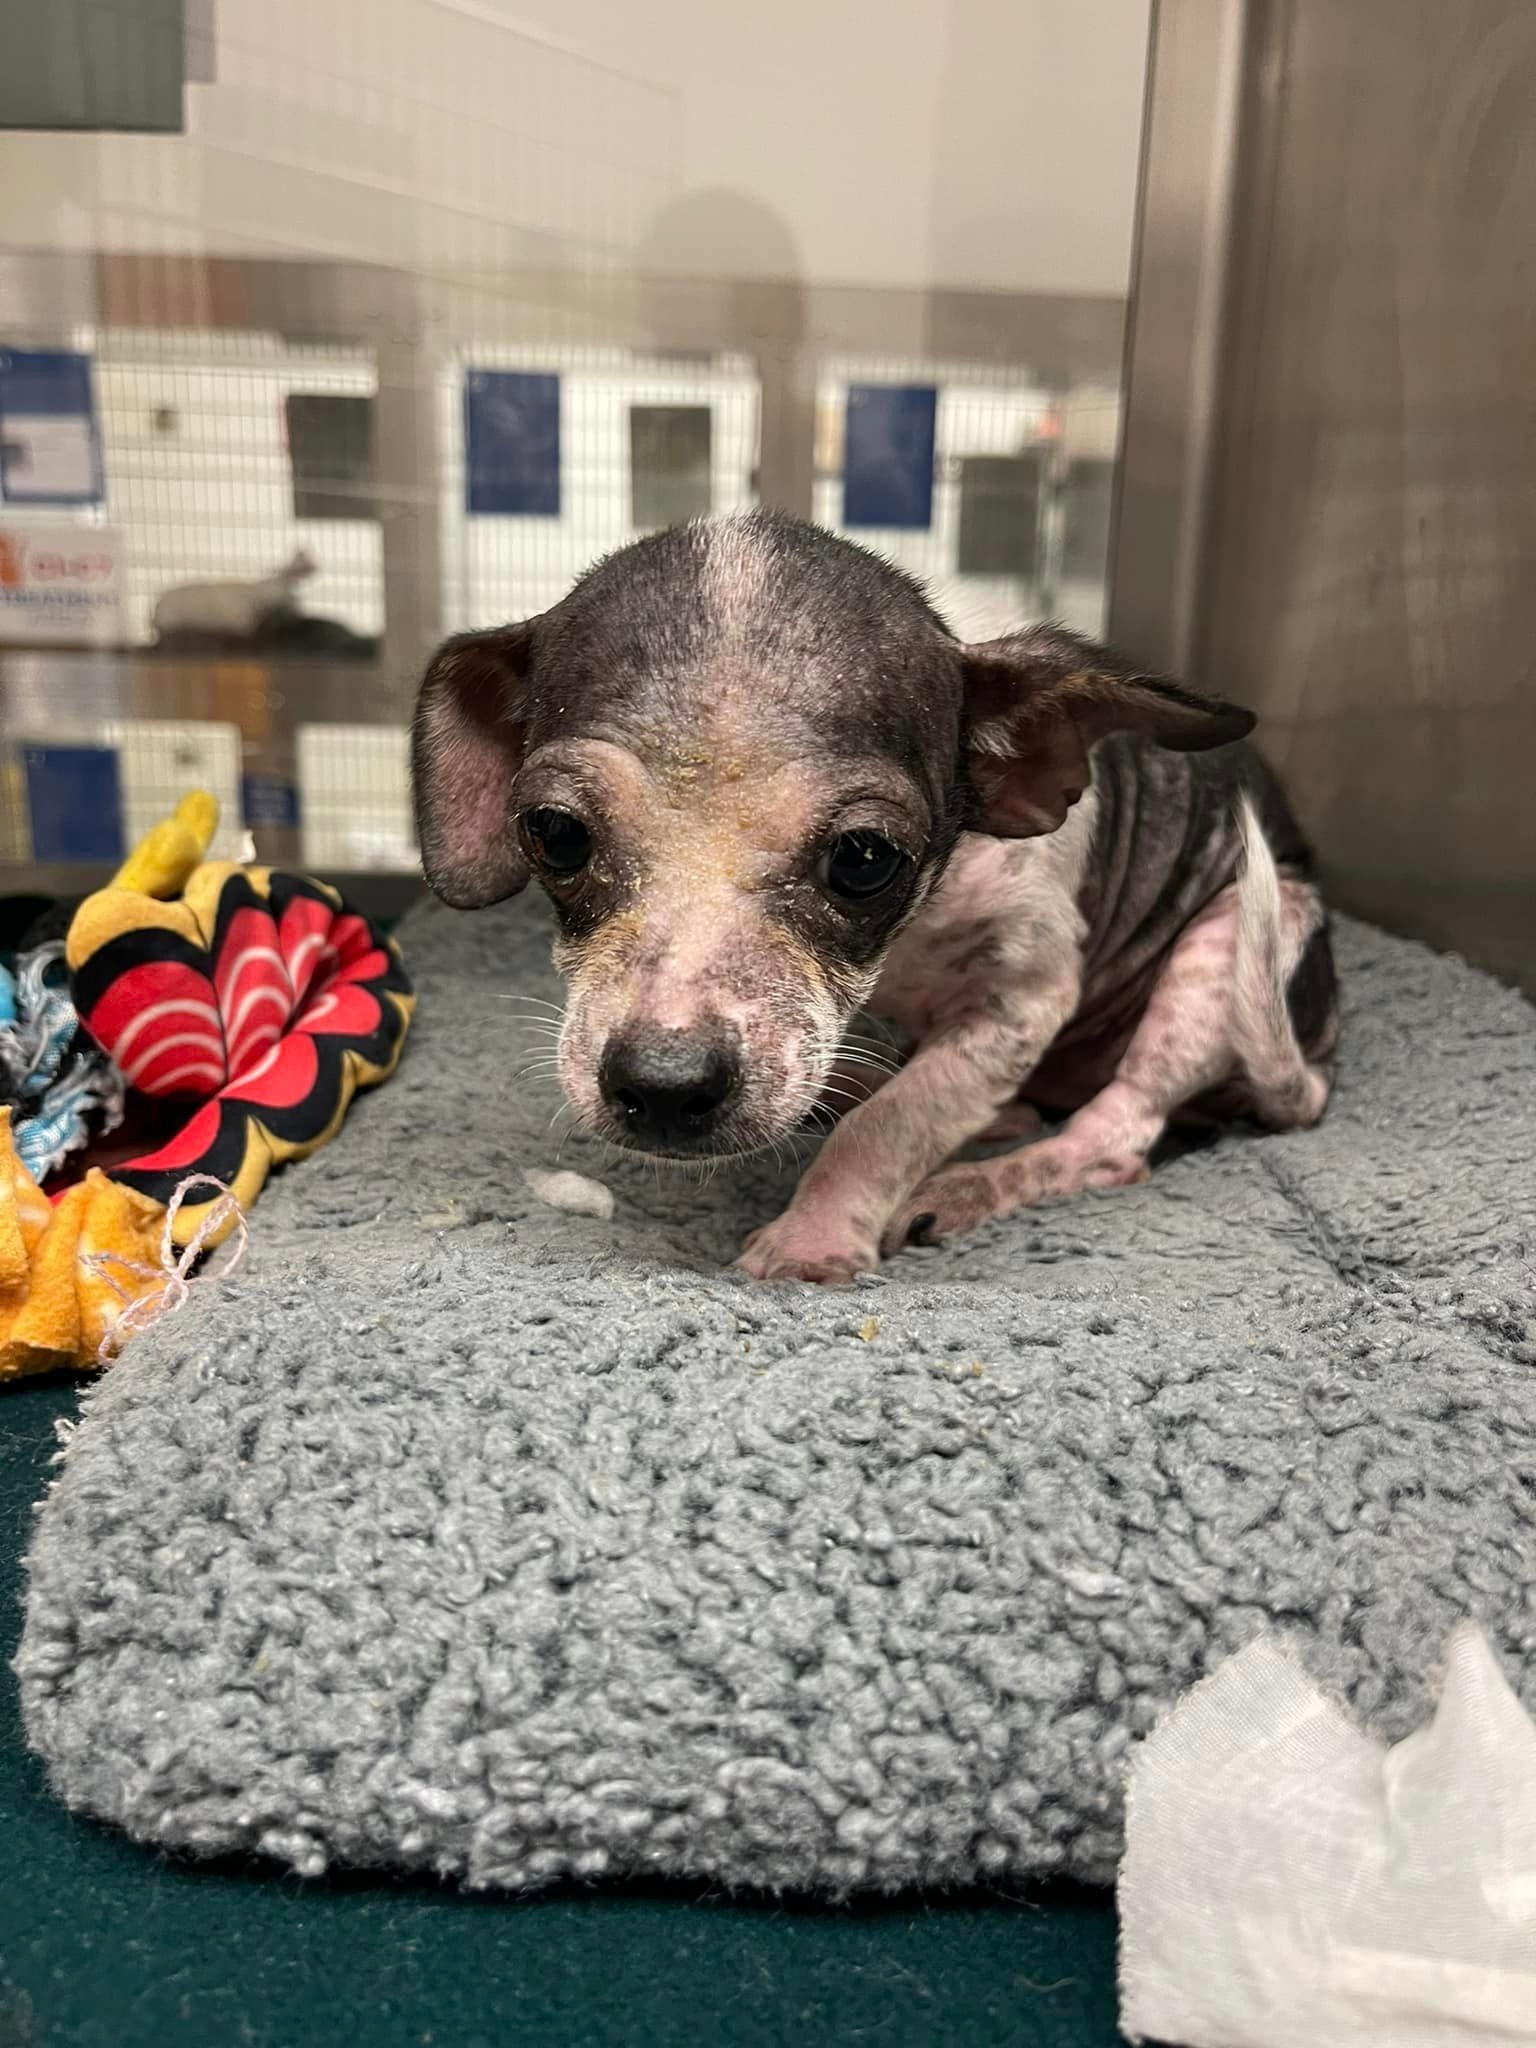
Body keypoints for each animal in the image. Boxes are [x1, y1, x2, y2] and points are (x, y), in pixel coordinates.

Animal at [411, 512, 1335, 1277]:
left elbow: (890, 1123)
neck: (905, 945)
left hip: (1229, 942)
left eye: (864, 858)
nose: (666, 1088)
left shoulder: (1020, 1001)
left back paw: (968, 1184)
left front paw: (813, 1238)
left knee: (1118, 1135)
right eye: (556, 835)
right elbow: (875, 1092)